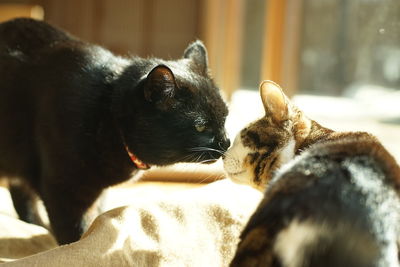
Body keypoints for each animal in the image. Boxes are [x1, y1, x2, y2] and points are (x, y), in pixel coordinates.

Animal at [0, 18, 230, 245]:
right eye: (201, 126)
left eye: (225, 117)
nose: (226, 142)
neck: (107, 112)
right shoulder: (62, 189)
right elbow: (74, 232)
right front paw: (76, 246)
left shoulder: (95, 192)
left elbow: (94, 219)